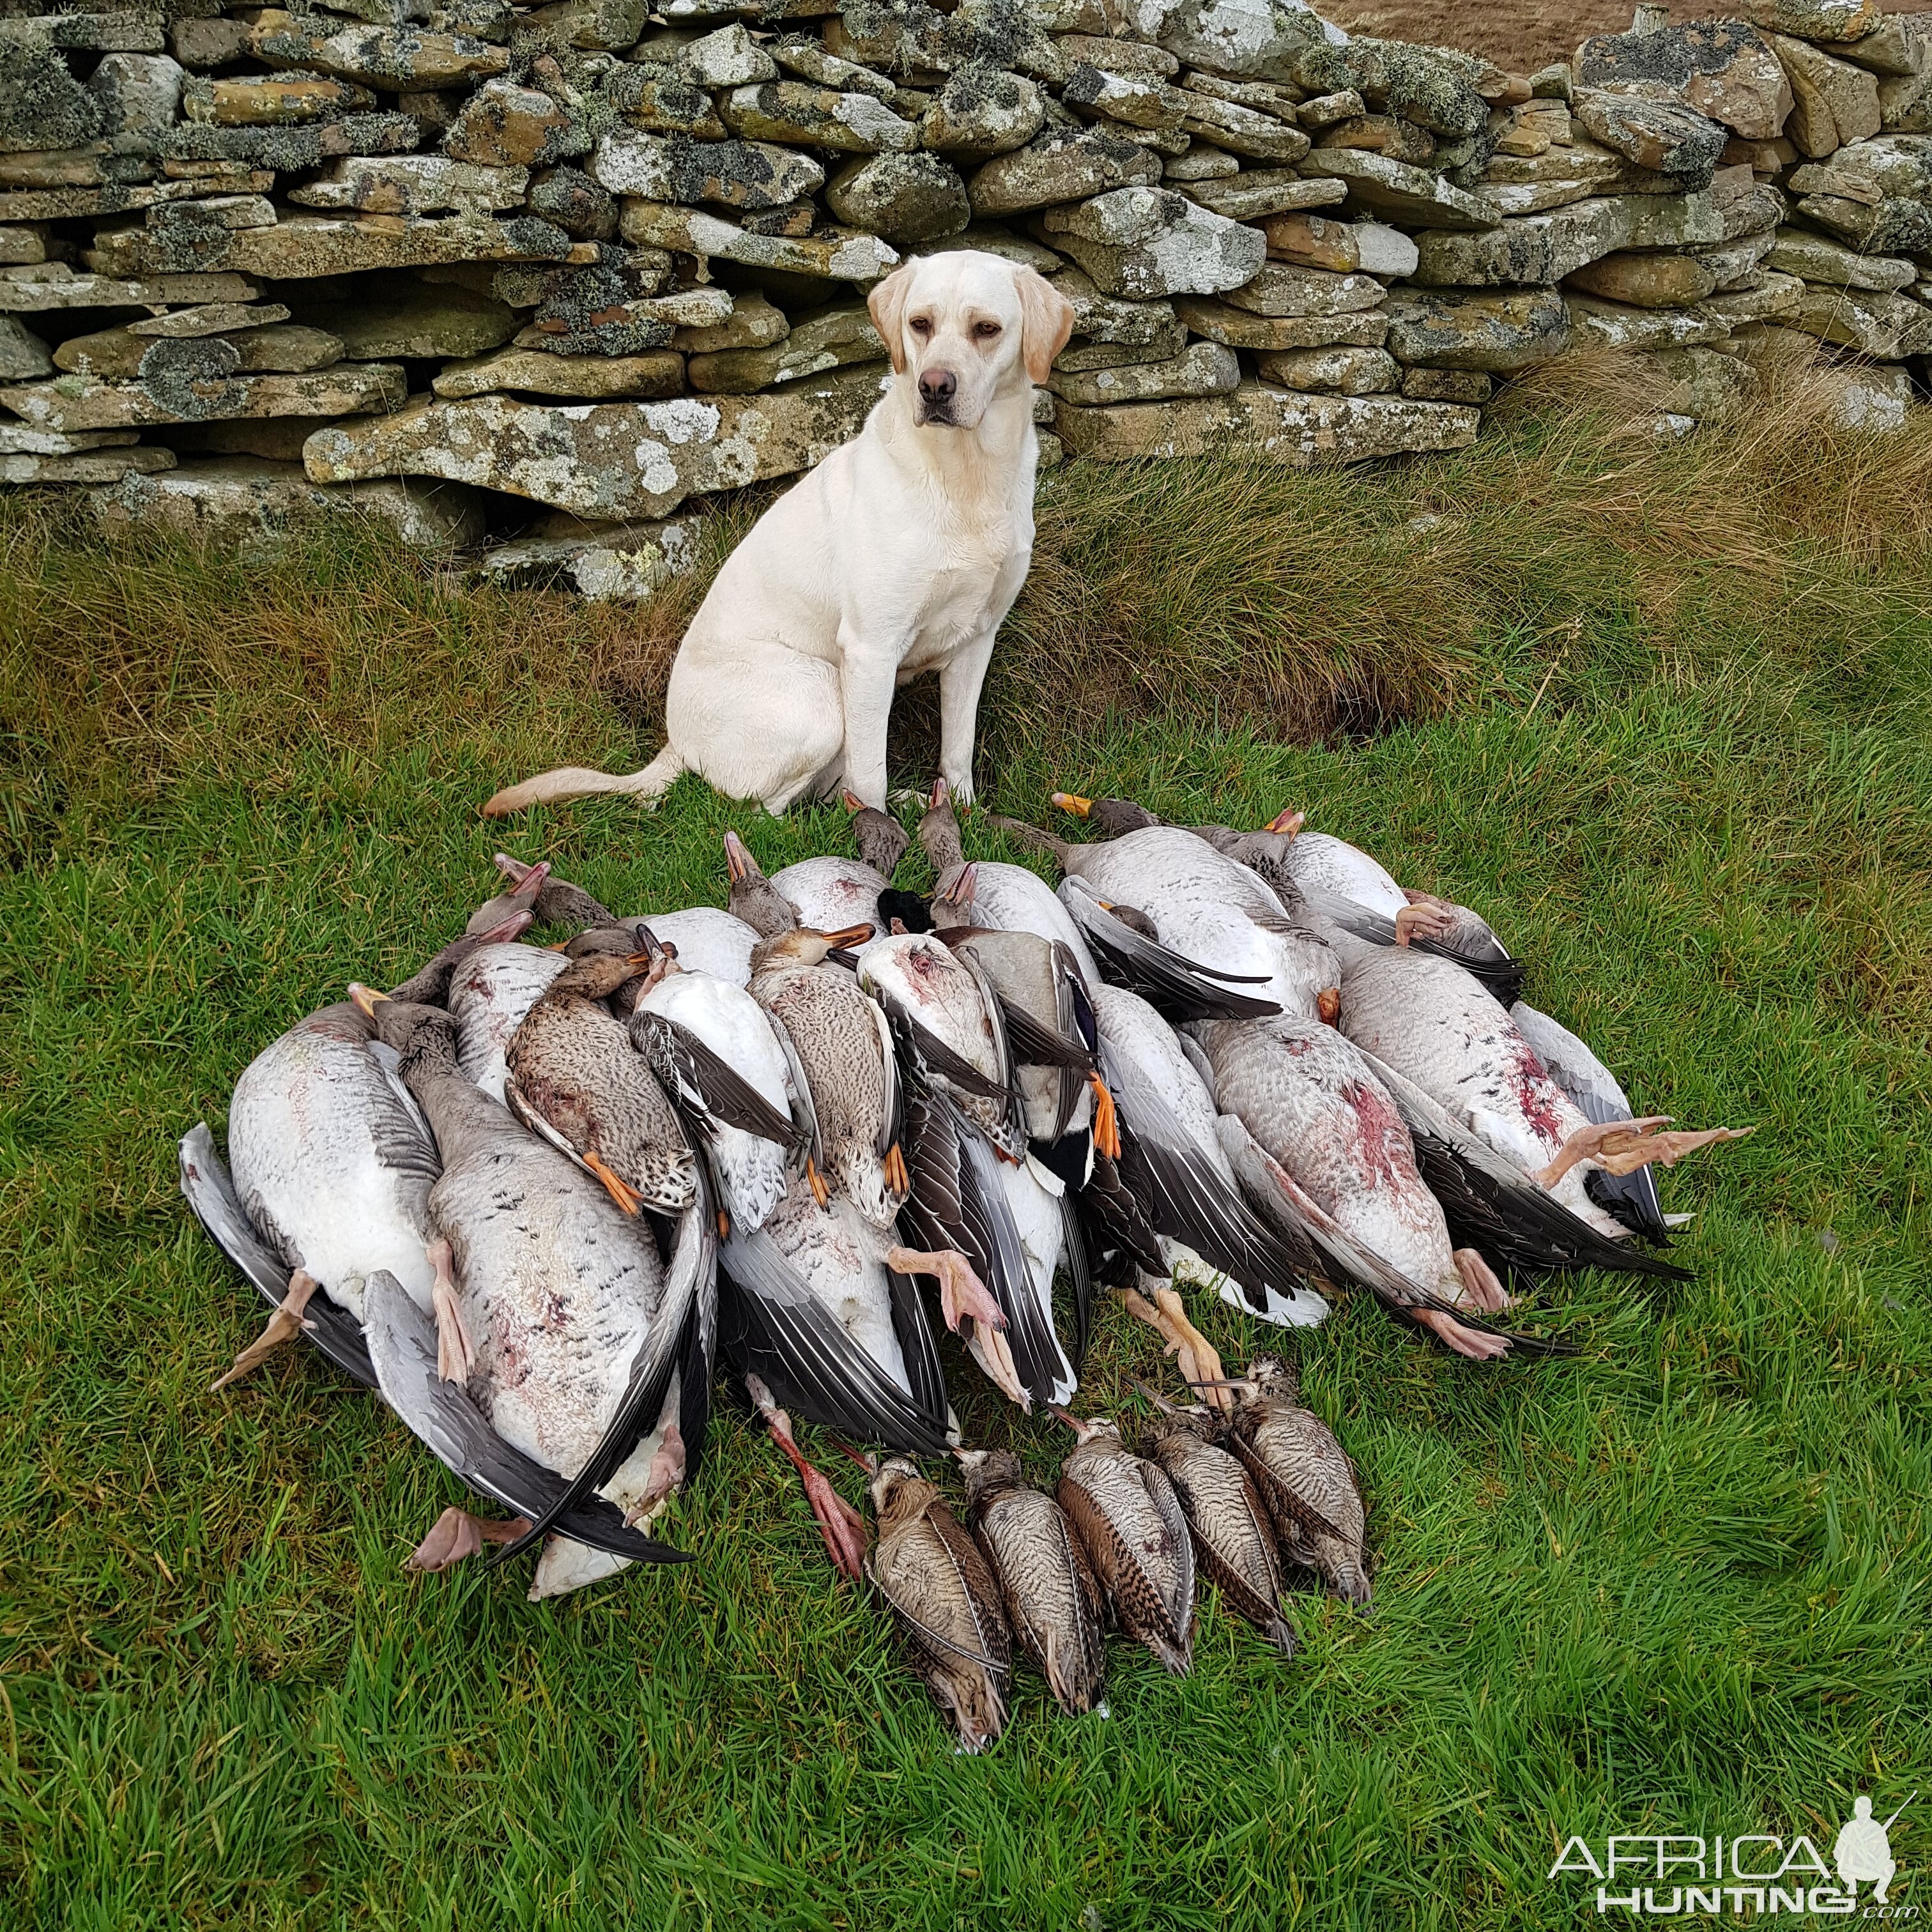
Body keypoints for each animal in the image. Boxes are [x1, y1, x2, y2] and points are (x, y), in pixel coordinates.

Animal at [483, 249, 1082, 815]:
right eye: (920, 324)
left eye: (987, 328)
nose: (934, 387)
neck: (966, 480)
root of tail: (676, 743)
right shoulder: (871, 650)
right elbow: (871, 775)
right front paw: (882, 838)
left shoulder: (976, 641)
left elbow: (957, 750)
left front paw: (959, 815)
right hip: (821, 695)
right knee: (769, 807)